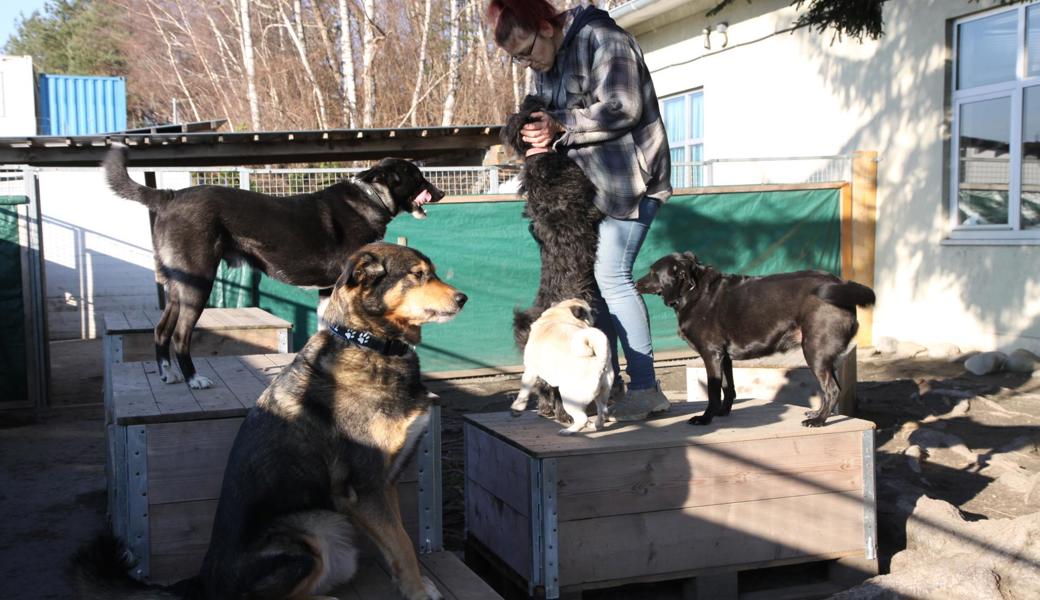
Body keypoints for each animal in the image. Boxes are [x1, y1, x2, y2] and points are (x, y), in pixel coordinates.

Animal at [79, 241, 470, 594]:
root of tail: (203, 580)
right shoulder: (365, 488)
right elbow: (402, 544)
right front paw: (419, 592)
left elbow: (400, 542)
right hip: (308, 538)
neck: (366, 342)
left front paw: (411, 584)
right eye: (418, 275)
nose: (464, 298)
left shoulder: (384, 485)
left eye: (432, 272)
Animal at [509, 297, 611, 432]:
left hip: (569, 394)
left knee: (580, 417)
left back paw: (568, 428)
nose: (596, 310)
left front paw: (517, 408)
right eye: (589, 311)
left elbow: (523, 392)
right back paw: (594, 425)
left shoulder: (531, 371)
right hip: (601, 394)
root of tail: (599, 364)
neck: (557, 316)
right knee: (602, 411)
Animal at [636, 251, 873, 426]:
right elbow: (727, 388)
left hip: (815, 351)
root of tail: (839, 283)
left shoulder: (711, 354)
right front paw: (722, 412)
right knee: (831, 389)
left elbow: (713, 391)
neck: (693, 292)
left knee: (832, 389)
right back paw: (819, 414)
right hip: (823, 355)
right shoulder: (724, 357)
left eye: (653, 272)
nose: (636, 283)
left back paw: (818, 421)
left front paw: (705, 418)